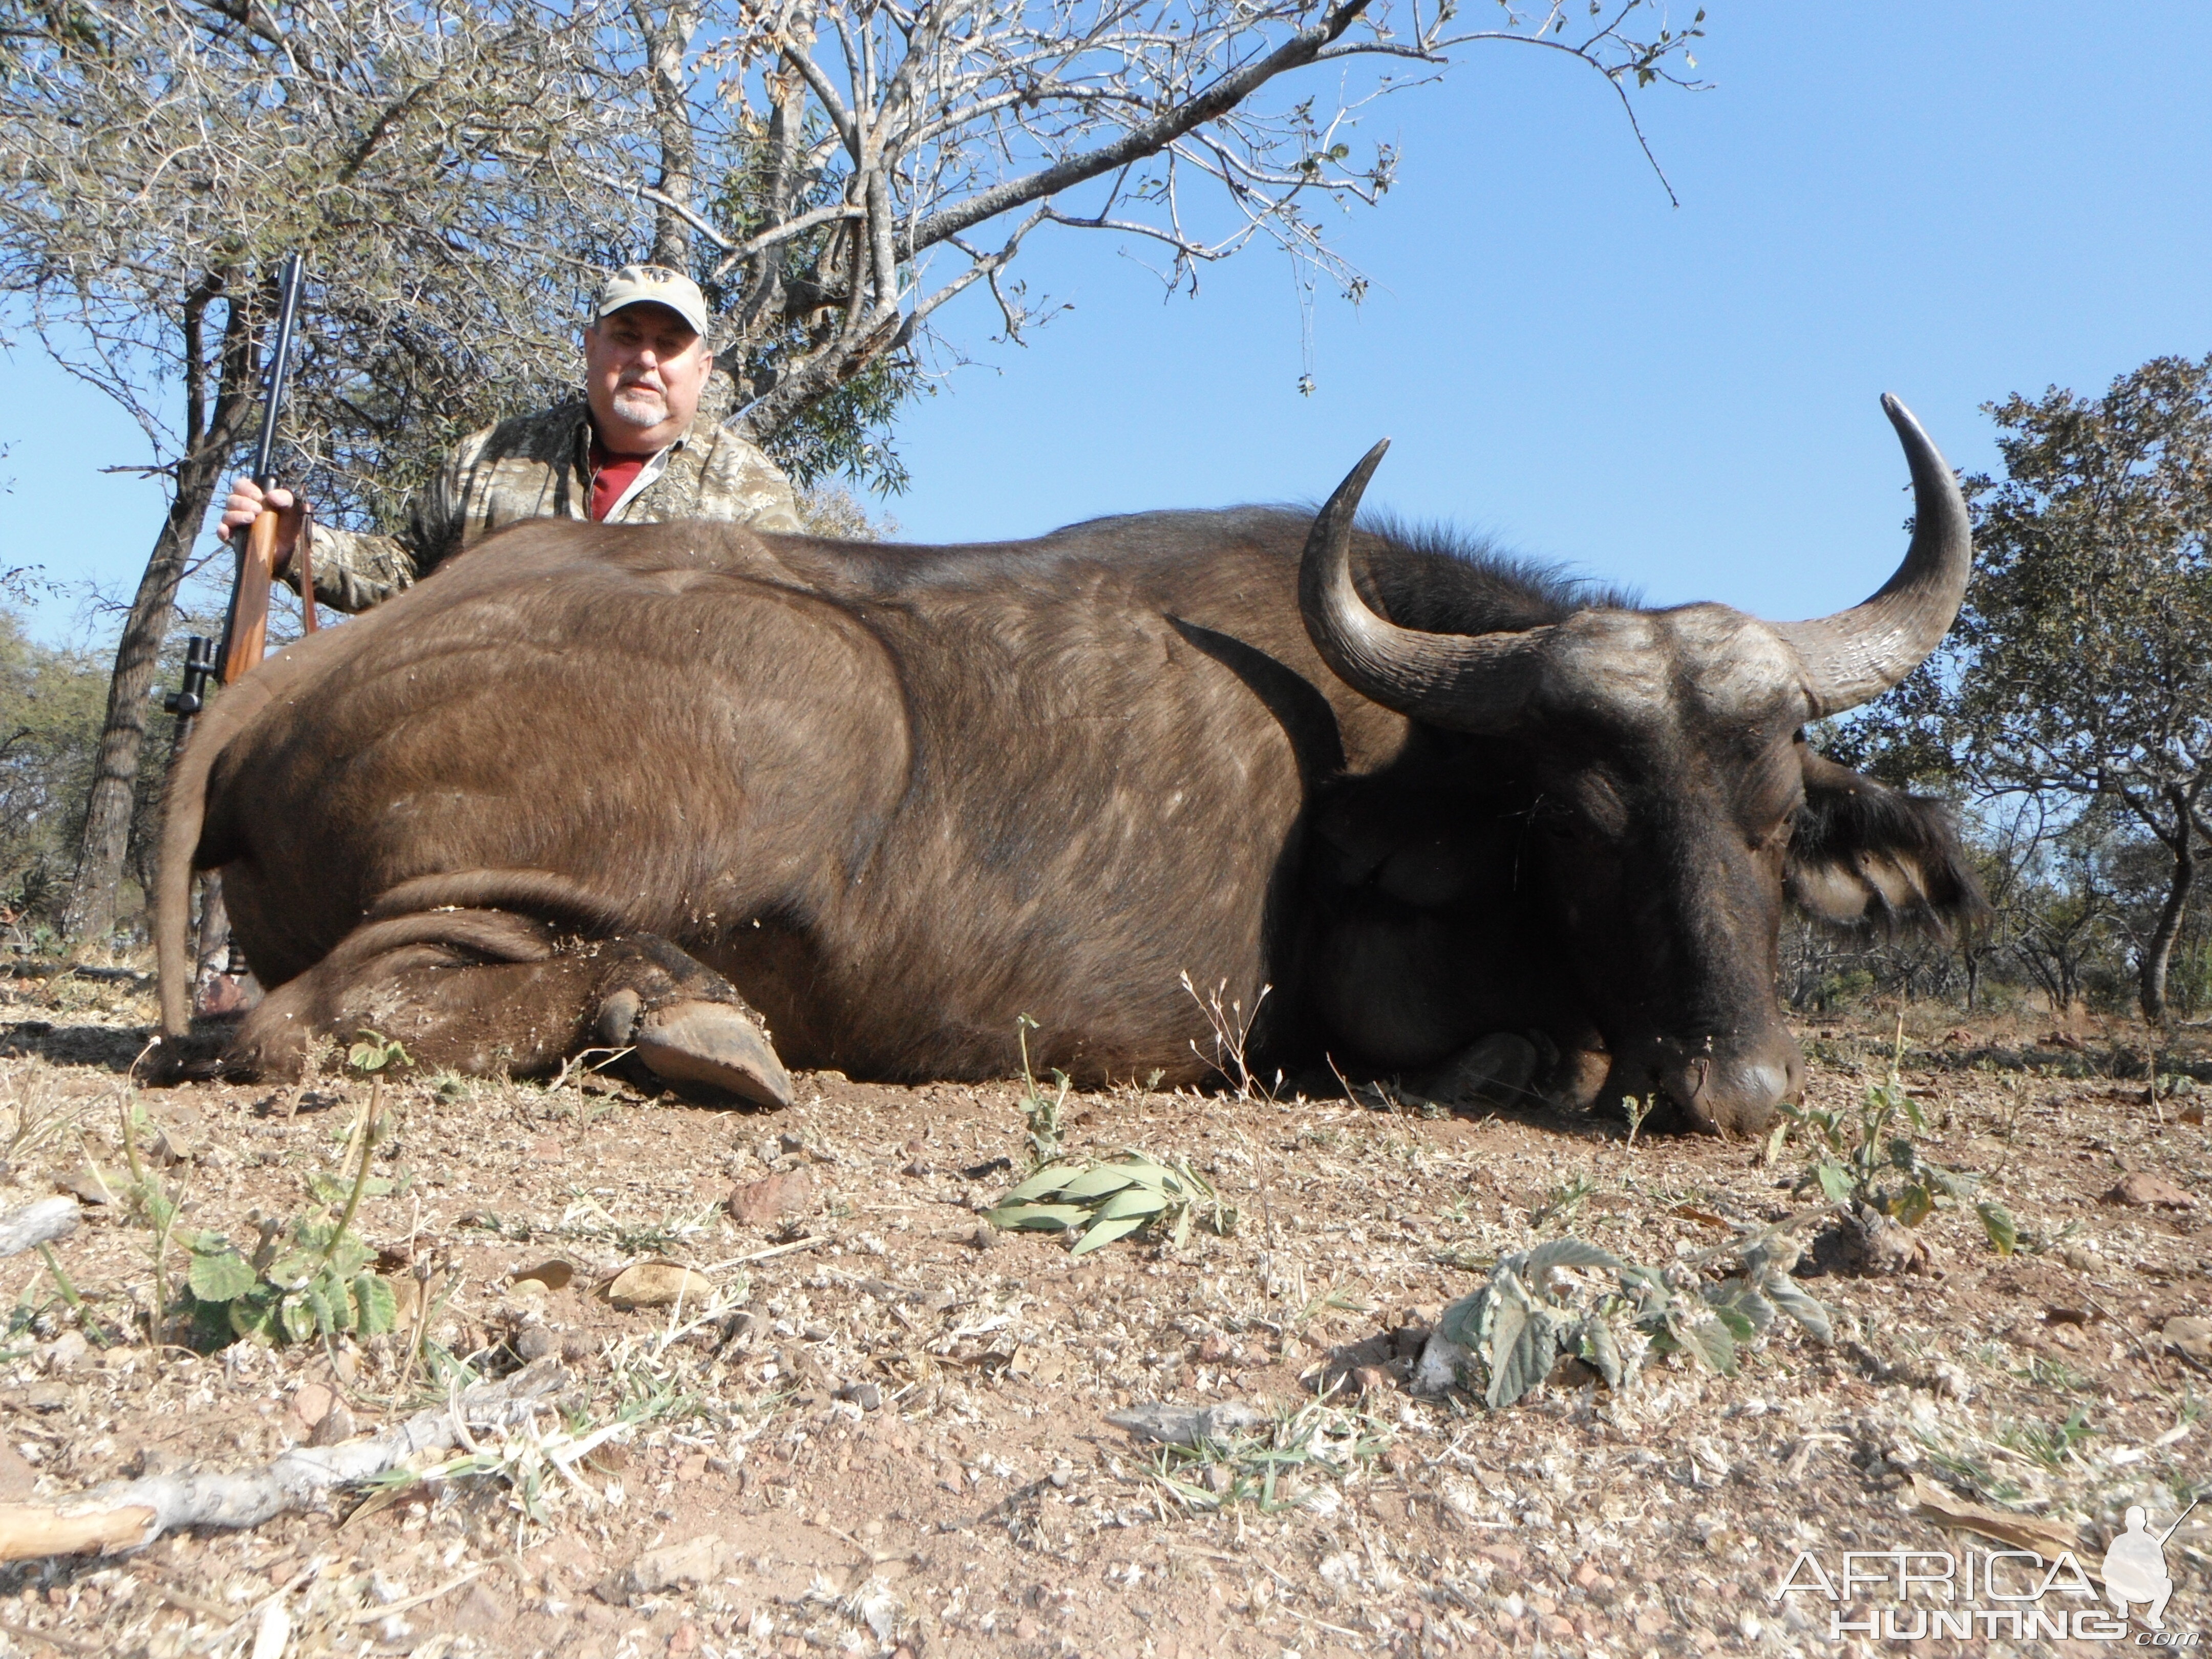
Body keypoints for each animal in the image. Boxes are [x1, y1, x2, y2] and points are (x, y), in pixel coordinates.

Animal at [160, 393, 1991, 1141]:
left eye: (1776, 824)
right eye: (1584, 821)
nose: (1732, 1089)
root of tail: (288, 684)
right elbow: (1525, 1046)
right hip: (789, 735)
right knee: (306, 1023)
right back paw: (682, 1013)